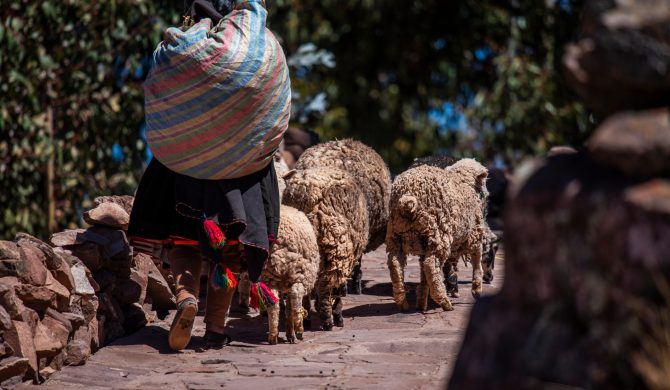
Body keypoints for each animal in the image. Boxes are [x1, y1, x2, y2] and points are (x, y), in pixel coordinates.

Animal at [262, 204, 320, 344]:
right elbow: (289, 306)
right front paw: (292, 332)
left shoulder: (284, 282)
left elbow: (287, 308)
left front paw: (289, 333)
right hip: (301, 270)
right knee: (296, 294)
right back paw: (299, 328)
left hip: (270, 274)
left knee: (273, 305)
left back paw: (273, 336)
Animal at [282, 167, 370, 330]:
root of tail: (306, 193)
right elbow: (336, 287)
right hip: (335, 245)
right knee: (326, 285)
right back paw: (330, 319)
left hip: (304, 247)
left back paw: (306, 319)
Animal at [386, 158, 490, 310]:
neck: (464, 182)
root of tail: (408, 196)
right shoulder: (474, 235)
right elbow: (477, 261)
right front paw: (477, 290)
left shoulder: (424, 246)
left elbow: (422, 272)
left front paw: (421, 298)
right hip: (439, 235)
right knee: (431, 265)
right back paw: (444, 301)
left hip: (397, 233)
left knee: (395, 264)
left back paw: (402, 302)